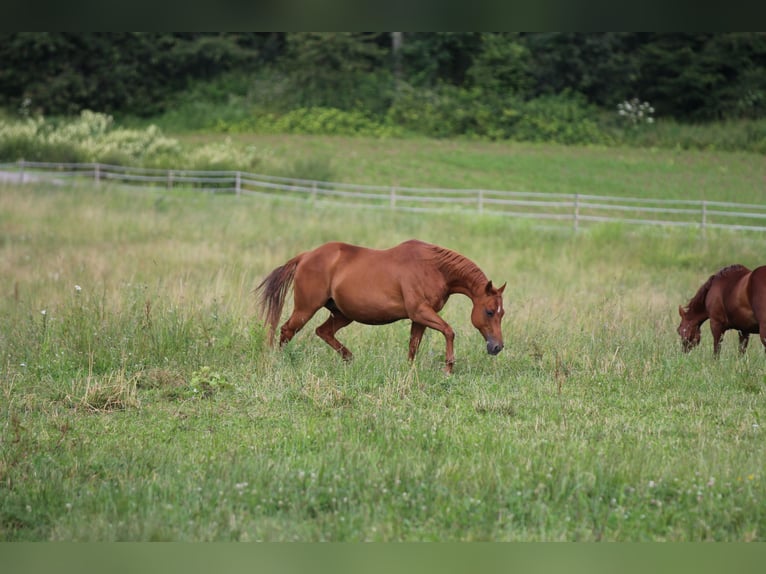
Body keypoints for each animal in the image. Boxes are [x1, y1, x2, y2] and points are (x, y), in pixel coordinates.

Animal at [255, 239, 506, 373]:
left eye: (502, 313)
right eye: (489, 311)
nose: (497, 347)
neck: (433, 267)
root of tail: (305, 256)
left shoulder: (419, 318)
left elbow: (413, 345)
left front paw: (409, 370)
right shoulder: (421, 312)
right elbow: (449, 331)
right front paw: (448, 369)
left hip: (343, 314)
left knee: (323, 331)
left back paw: (350, 359)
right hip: (306, 309)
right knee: (287, 330)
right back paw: (278, 361)